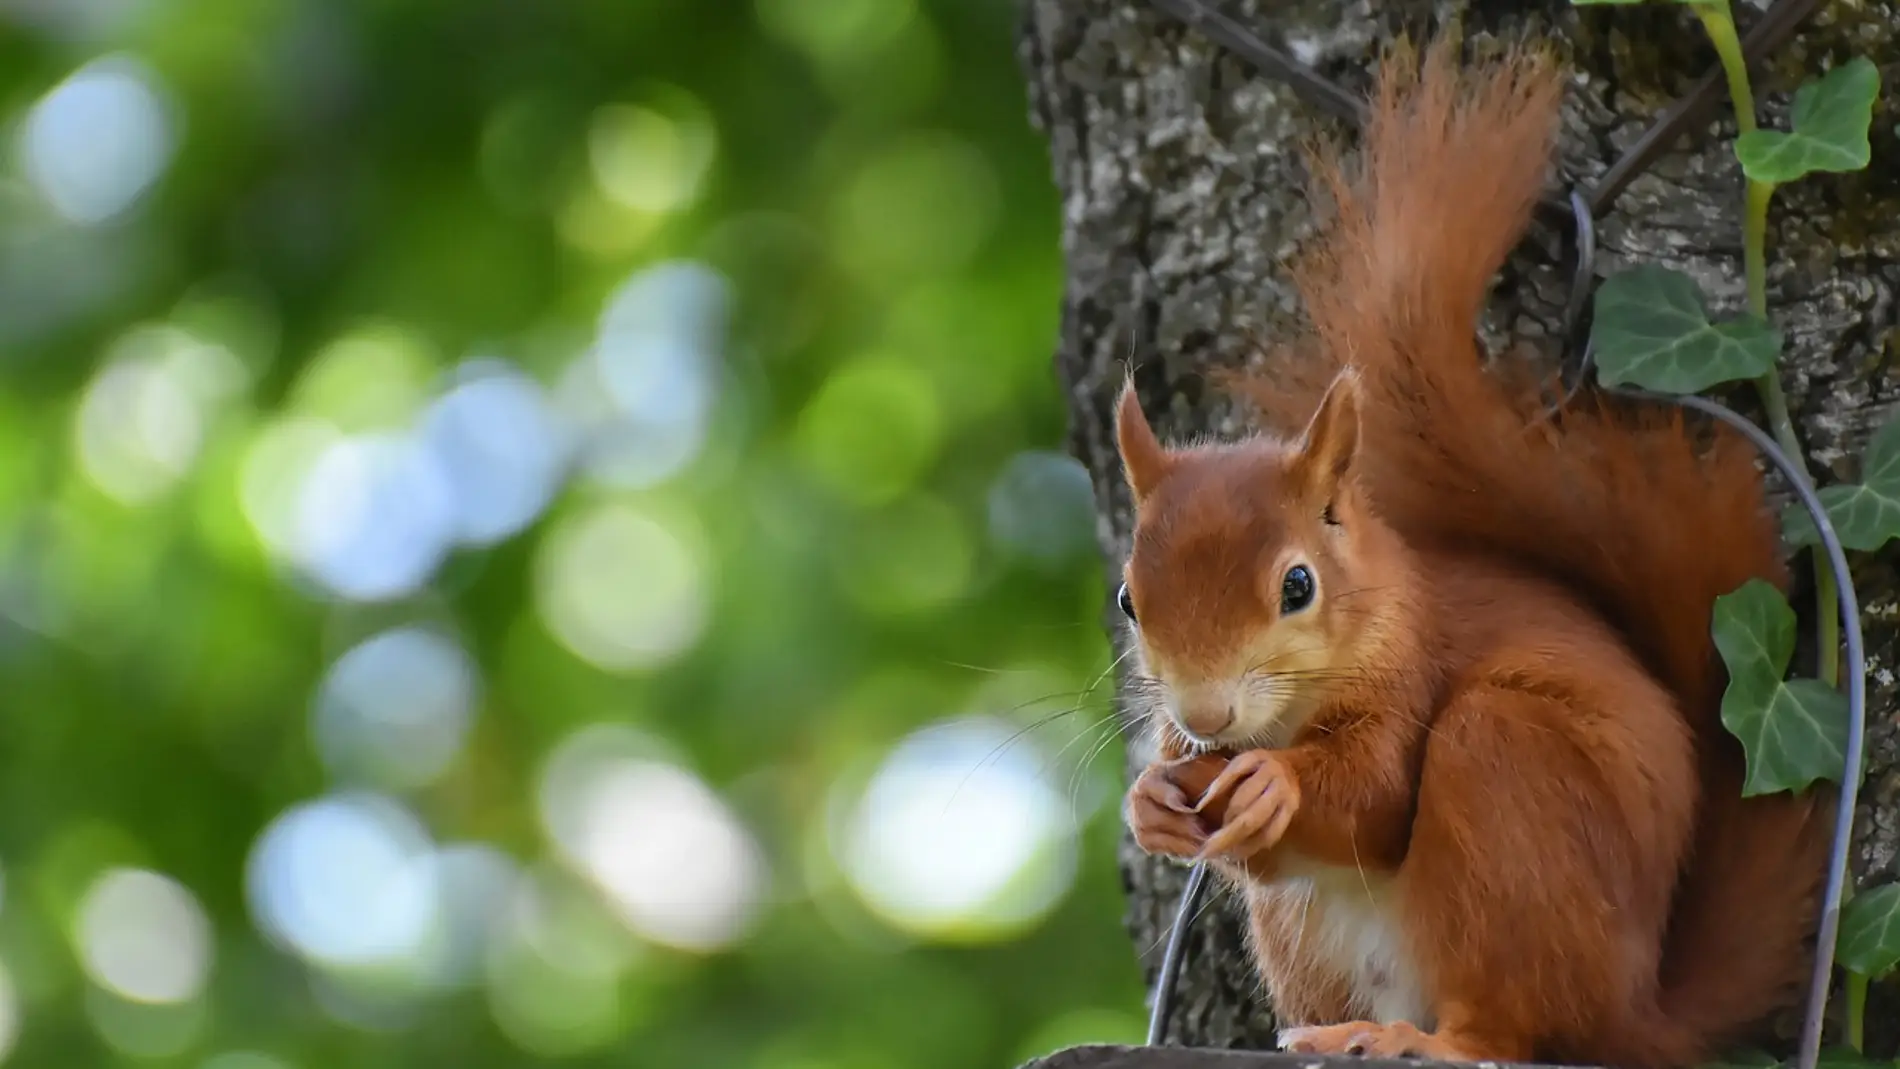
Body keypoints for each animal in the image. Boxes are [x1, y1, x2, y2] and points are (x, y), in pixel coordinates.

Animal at [1109, 35, 1824, 1069]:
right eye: (1128, 599)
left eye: (1297, 584)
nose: (1207, 714)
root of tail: (1636, 1009)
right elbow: (1244, 836)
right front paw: (1151, 801)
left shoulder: (1413, 669)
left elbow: (1375, 796)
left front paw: (1278, 781)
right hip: (1305, 936)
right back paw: (1339, 1030)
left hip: (1509, 785)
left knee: (1505, 1025)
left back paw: (1420, 1038)